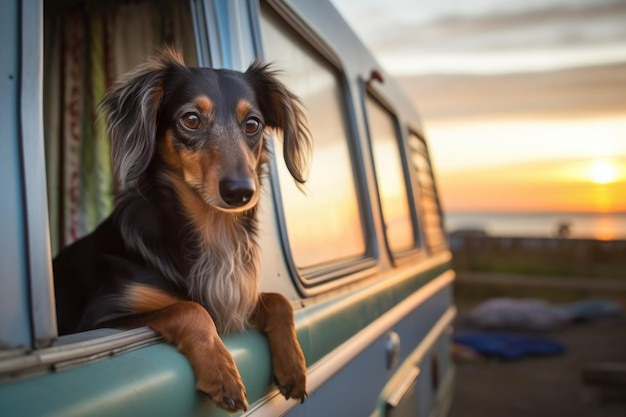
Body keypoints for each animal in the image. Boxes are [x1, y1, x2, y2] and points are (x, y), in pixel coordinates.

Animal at [53, 47, 310, 412]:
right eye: (191, 119)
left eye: (252, 124)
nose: (240, 191)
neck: (211, 228)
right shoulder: (99, 322)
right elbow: (189, 308)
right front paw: (222, 373)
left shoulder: (233, 298)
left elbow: (279, 300)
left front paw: (293, 366)